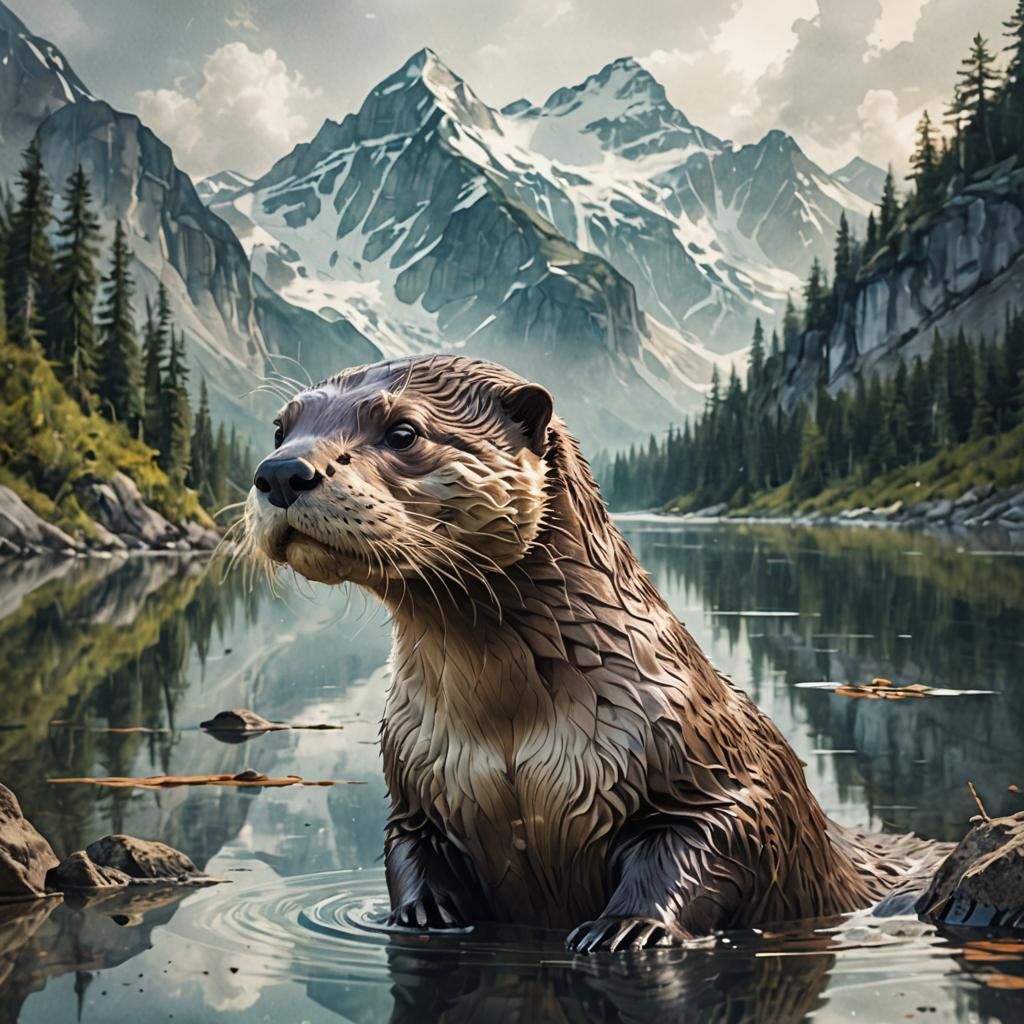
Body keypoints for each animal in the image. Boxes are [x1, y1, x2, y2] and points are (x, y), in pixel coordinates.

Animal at [245, 355, 940, 952]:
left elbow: (713, 837)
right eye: (281, 427)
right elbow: (407, 845)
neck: (508, 729)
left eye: (403, 431)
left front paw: (625, 927)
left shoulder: (705, 759)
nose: (281, 472)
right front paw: (420, 914)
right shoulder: (417, 779)